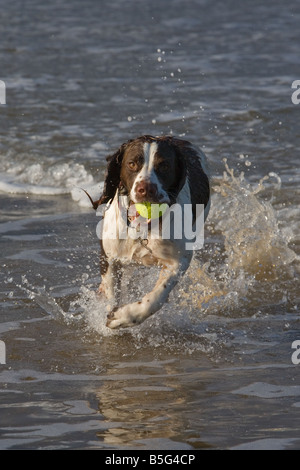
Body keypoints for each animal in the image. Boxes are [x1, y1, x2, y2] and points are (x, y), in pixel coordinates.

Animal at [90, 134, 210, 328]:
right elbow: (112, 293)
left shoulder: (178, 261)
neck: (143, 229)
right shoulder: (110, 256)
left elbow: (154, 299)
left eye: (164, 166)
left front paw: (122, 317)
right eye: (132, 164)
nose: (146, 189)